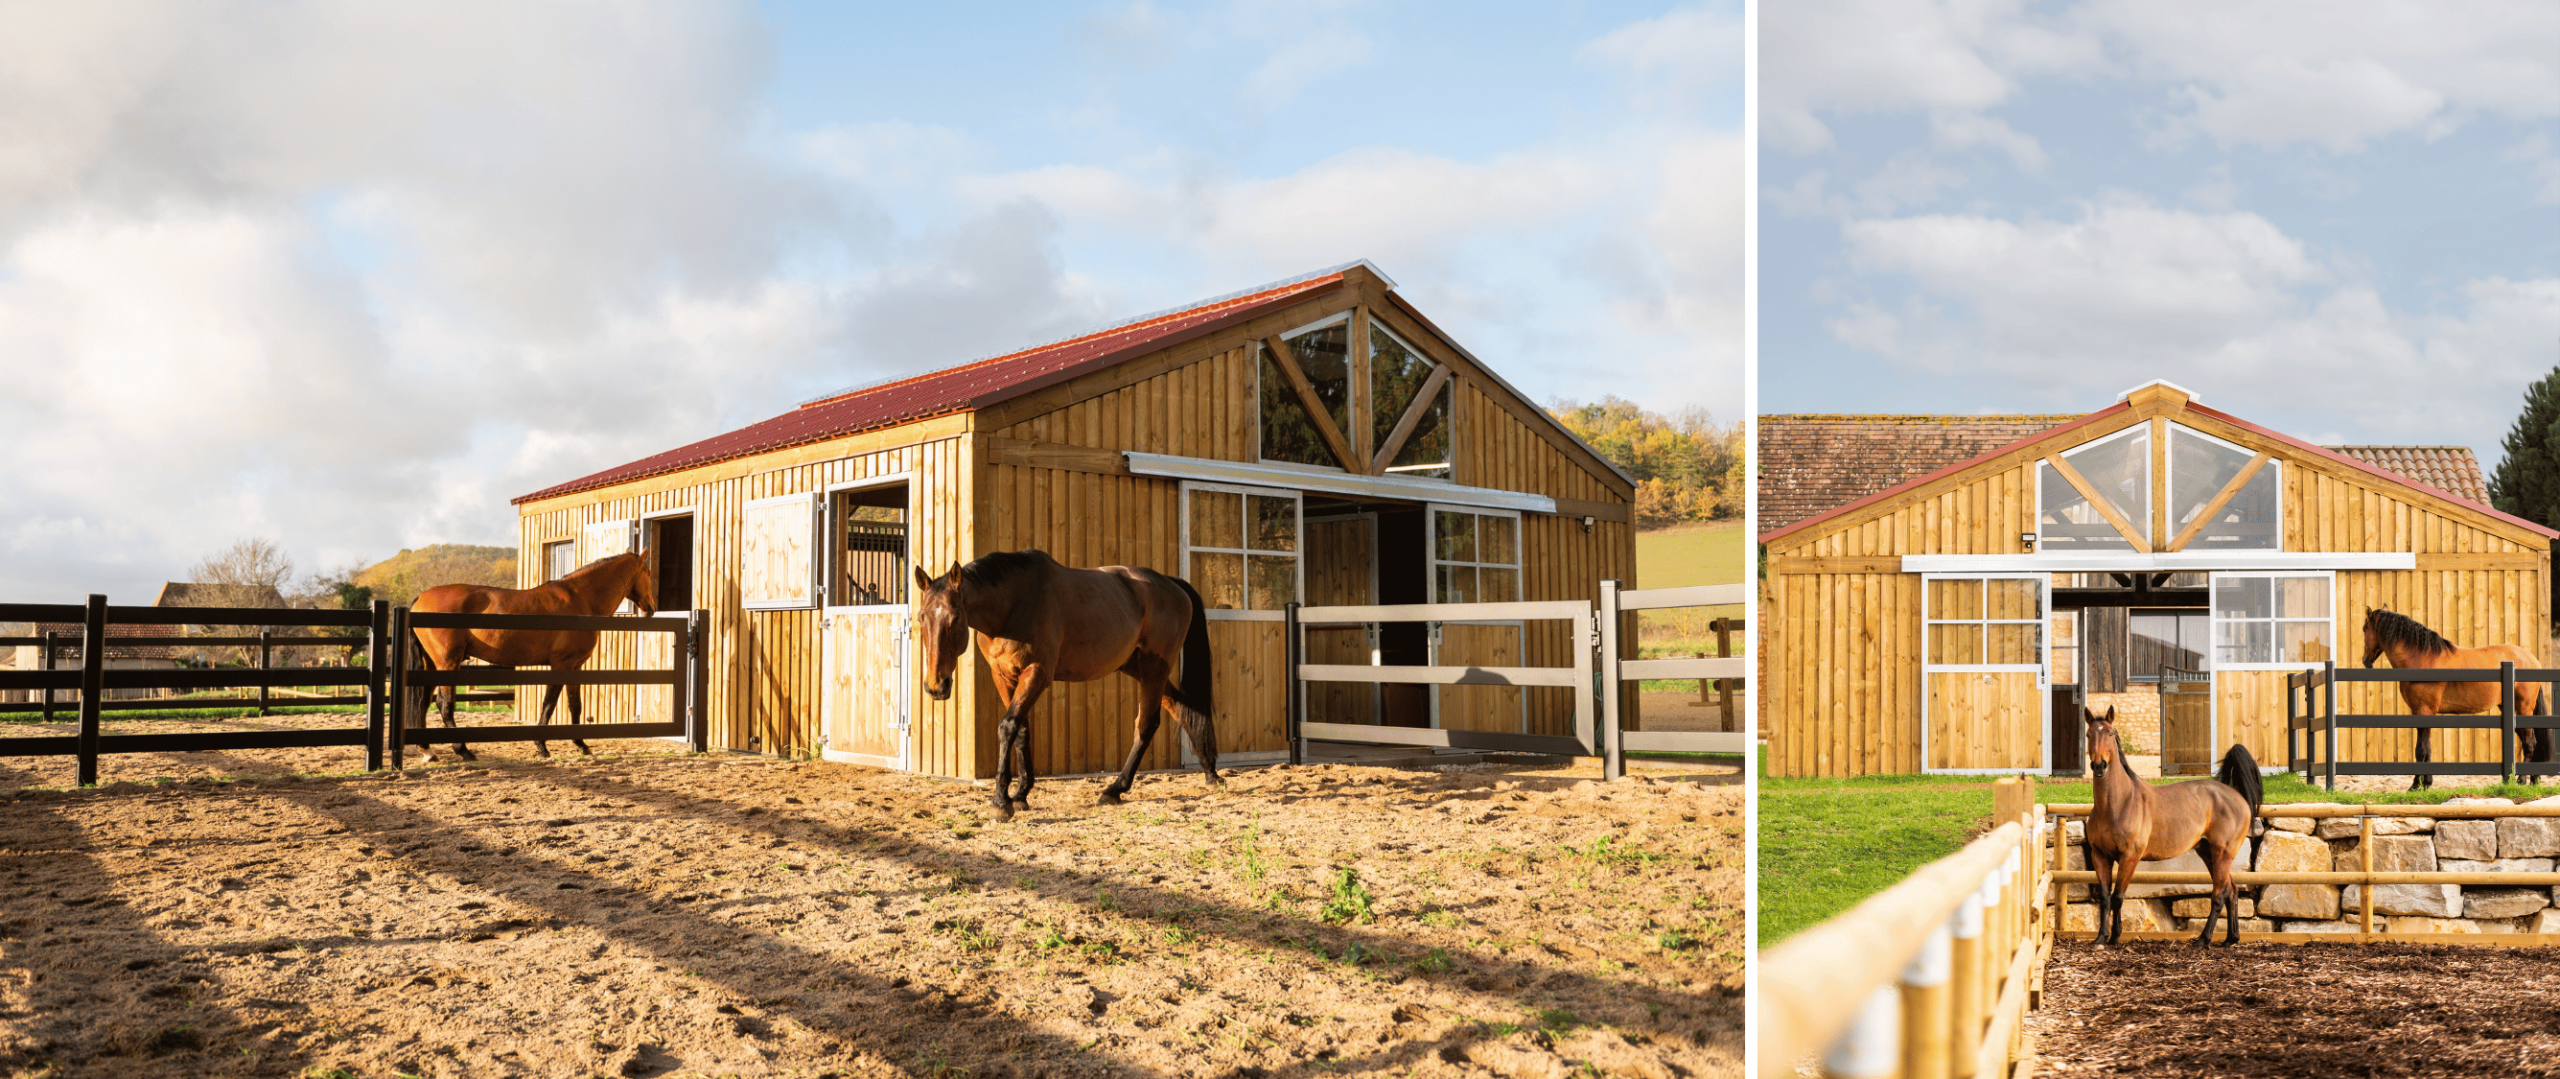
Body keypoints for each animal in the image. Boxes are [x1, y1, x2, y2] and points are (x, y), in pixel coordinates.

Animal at [404, 551, 655, 758]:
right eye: (649, 573)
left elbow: (575, 705)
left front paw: (581, 744)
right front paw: (542, 746)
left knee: (424, 702)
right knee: (443, 703)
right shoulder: (561, 664)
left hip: (432, 664)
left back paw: (427, 750)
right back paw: (463, 750)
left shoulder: (575, 666)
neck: (581, 599)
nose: (651, 608)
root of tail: (420, 599)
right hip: (448, 662)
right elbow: (549, 704)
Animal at [911, 551, 1218, 820]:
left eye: (955, 618)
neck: (1013, 604)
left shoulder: (1037, 674)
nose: (936, 686)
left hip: (1155, 671)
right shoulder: (1003, 676)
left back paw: (1115, 789)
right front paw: (1021, 795)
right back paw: (1210, 771)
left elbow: (1007, 727)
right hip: (1143, 670)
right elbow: (1021, 731)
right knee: (1182, 709)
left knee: (1145, 726)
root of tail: (1172, 584)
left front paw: (1001, 802)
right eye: (921, 618)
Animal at [2078, 707, 2263, 943]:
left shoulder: (2130, 857)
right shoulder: (2100, 856)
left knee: (2219, 894)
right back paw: (2231, 939)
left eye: (2110, 733)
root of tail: (2237, 795)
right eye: (2088, 734)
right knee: (2232, 891)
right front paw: (2101, 938)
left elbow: (2118, 896)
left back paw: (2203, 940)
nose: (2099, 765)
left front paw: (2115, 937)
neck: (2117, 804)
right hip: (2209, 853)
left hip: (2223, 854)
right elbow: (2105, 897)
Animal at [2365, 604, 2549, 789]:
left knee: (2530, 742)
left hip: (2524, 708)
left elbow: (2421, 750)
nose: (2366, 661)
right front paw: (2427, 783)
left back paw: (2522, 780)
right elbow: (2428, 748)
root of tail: (2532, 660)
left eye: (2365, 629)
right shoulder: (2424, 712)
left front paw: (2416, 785)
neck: (2423, 659)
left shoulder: (2424, 710)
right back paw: (2534, 780)